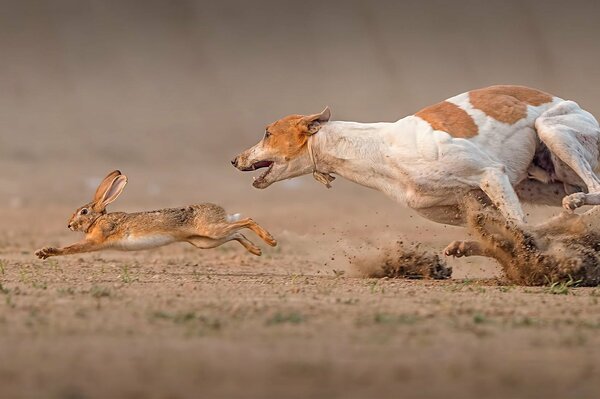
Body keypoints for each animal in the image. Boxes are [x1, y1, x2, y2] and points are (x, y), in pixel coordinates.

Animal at [231, 86, 600, 258]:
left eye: (267, 133)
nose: (234, 160)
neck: (380, 148)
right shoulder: (468, 205)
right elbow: (514, 232)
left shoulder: (490, 173)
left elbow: (521, 231)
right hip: (539, 184)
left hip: (552, 130)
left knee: (593, 190)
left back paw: (578, 201)